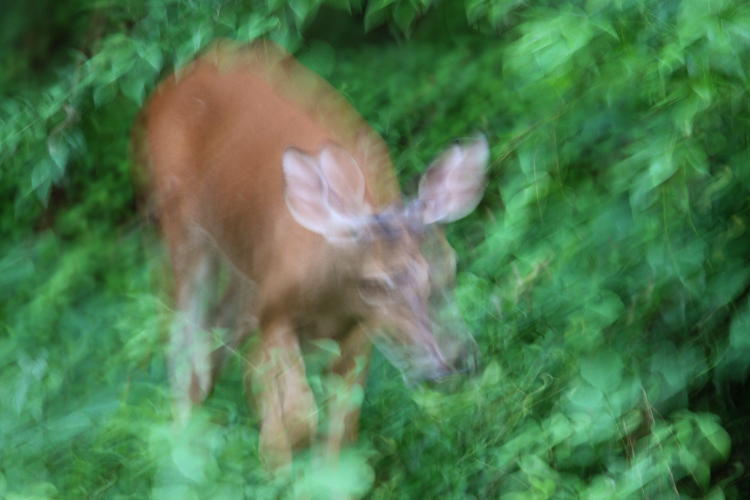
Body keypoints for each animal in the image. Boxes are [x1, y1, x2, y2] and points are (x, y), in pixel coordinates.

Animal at [134, 40, 488, 468]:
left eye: (451, 268)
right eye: (375, 283)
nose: (457, 363)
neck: (329, 296)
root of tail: (168, 85)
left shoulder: (358, 332)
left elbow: (341, 431)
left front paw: (312, 468)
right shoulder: (274, 308)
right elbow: (298, 412)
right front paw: (278, 456)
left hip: (241, 263)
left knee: (221, 336)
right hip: (178, 225)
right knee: (184, 339)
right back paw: (185, 450)